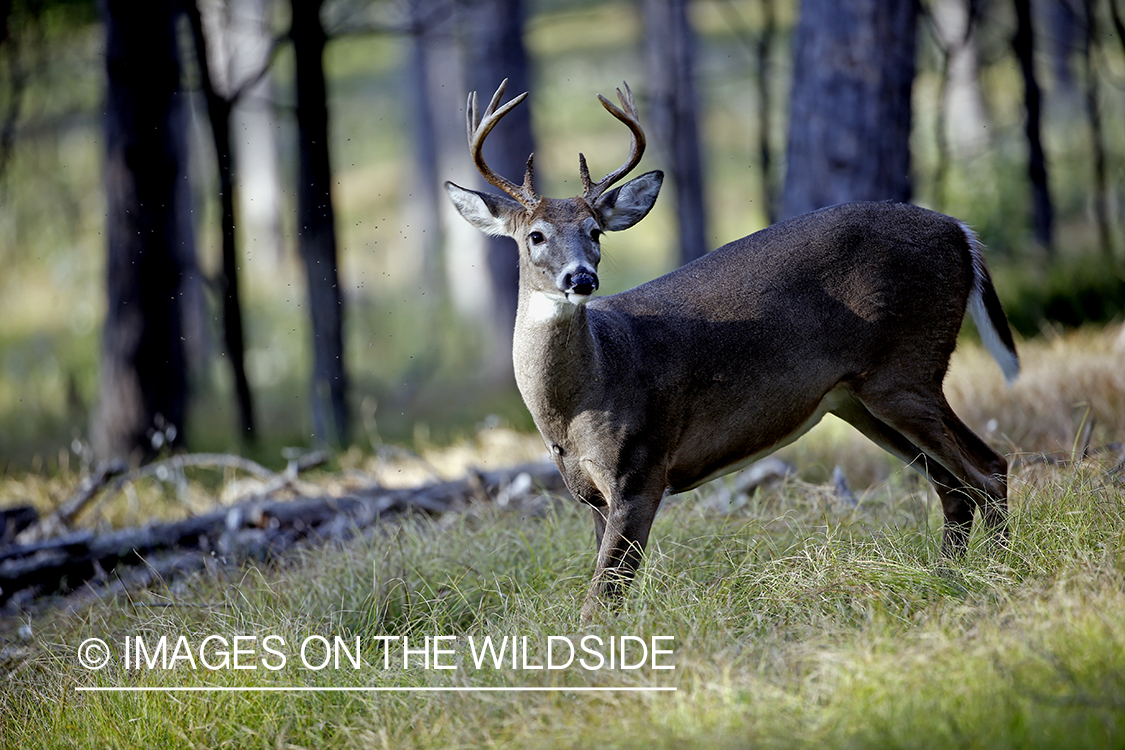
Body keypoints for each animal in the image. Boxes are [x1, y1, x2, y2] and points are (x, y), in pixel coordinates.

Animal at [445, 80, 1021, 620]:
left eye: (595, 232)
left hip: (905, 368)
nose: (581, 278)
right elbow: (607, 587)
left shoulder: (641, 466)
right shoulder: (588, 491)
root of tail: (961, 232)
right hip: (858, 398)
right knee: (957, 488)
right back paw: (948, 577)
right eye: (536, 236)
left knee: (987, 471)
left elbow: (602, 594)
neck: (582, 398)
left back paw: (999, 574)